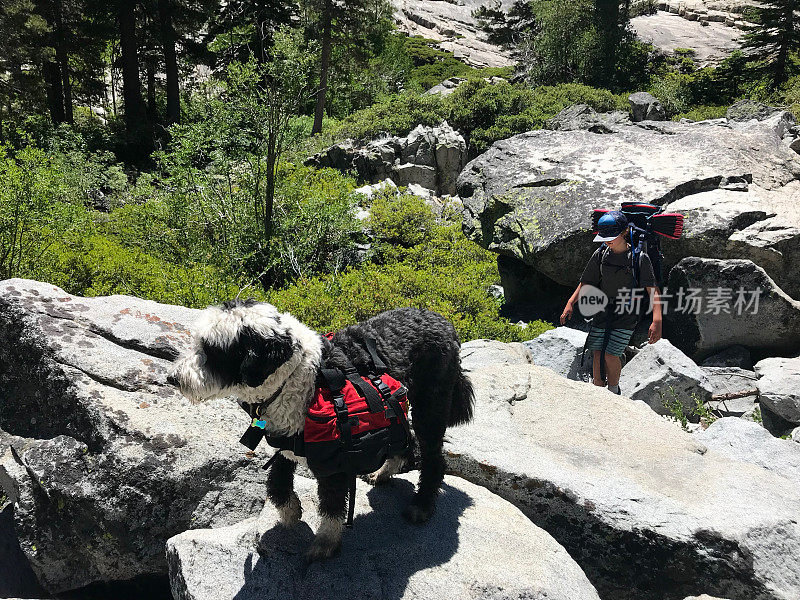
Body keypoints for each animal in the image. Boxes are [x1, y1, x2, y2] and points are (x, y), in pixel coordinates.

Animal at [167, 302, 468, 560]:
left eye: (212, 351)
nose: (172, 378)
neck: (300, 375)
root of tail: (443, 321)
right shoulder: (286, 440)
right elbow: (277, 485)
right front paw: (291, 512)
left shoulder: (336, 457)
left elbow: (332, 505)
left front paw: (325, 543)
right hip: (397, 410)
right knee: (407, 440)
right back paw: (384, 471)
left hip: (431, 404)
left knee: (433, 457)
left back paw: (422, 504)